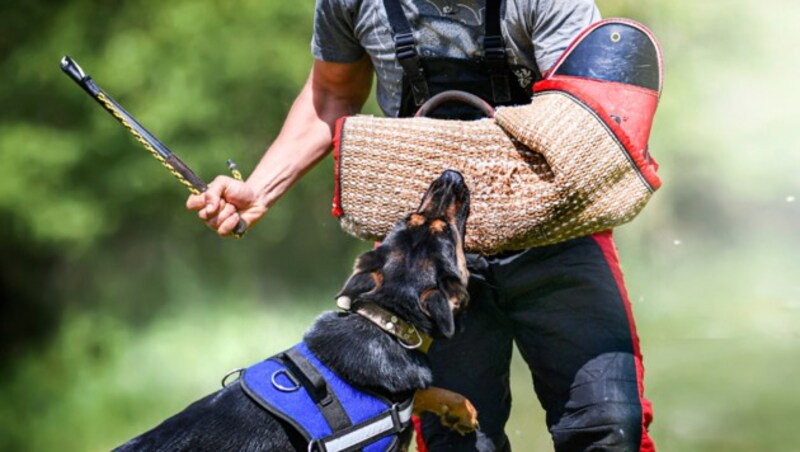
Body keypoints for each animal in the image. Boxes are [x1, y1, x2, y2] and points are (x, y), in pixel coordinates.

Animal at [119, 170, 478, 452]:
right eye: (446, 232)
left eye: (407, 219)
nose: (450, 176)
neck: (385, 321)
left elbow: (426, 394)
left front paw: (458, 410)